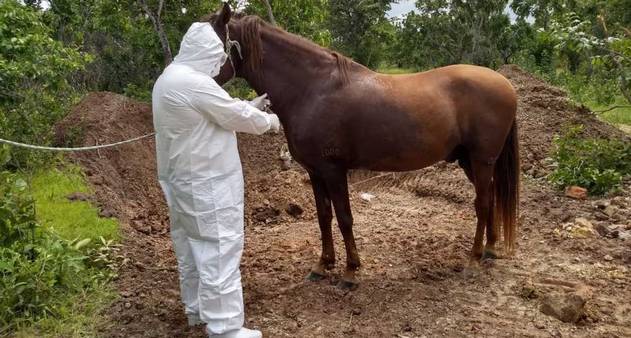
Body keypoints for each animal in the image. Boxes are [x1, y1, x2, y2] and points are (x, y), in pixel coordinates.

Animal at [207, 3, 520, 290]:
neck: (312, 89)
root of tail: (505, 83)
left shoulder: (334, 171)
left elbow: (345, 218)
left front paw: (350, 272)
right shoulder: (315, 172)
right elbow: (324, 217)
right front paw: (323, 265)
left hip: (481, 159)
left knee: (482, 202)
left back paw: (474, 259)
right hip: (469, 161)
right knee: (490, 195)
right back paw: (490, 249)